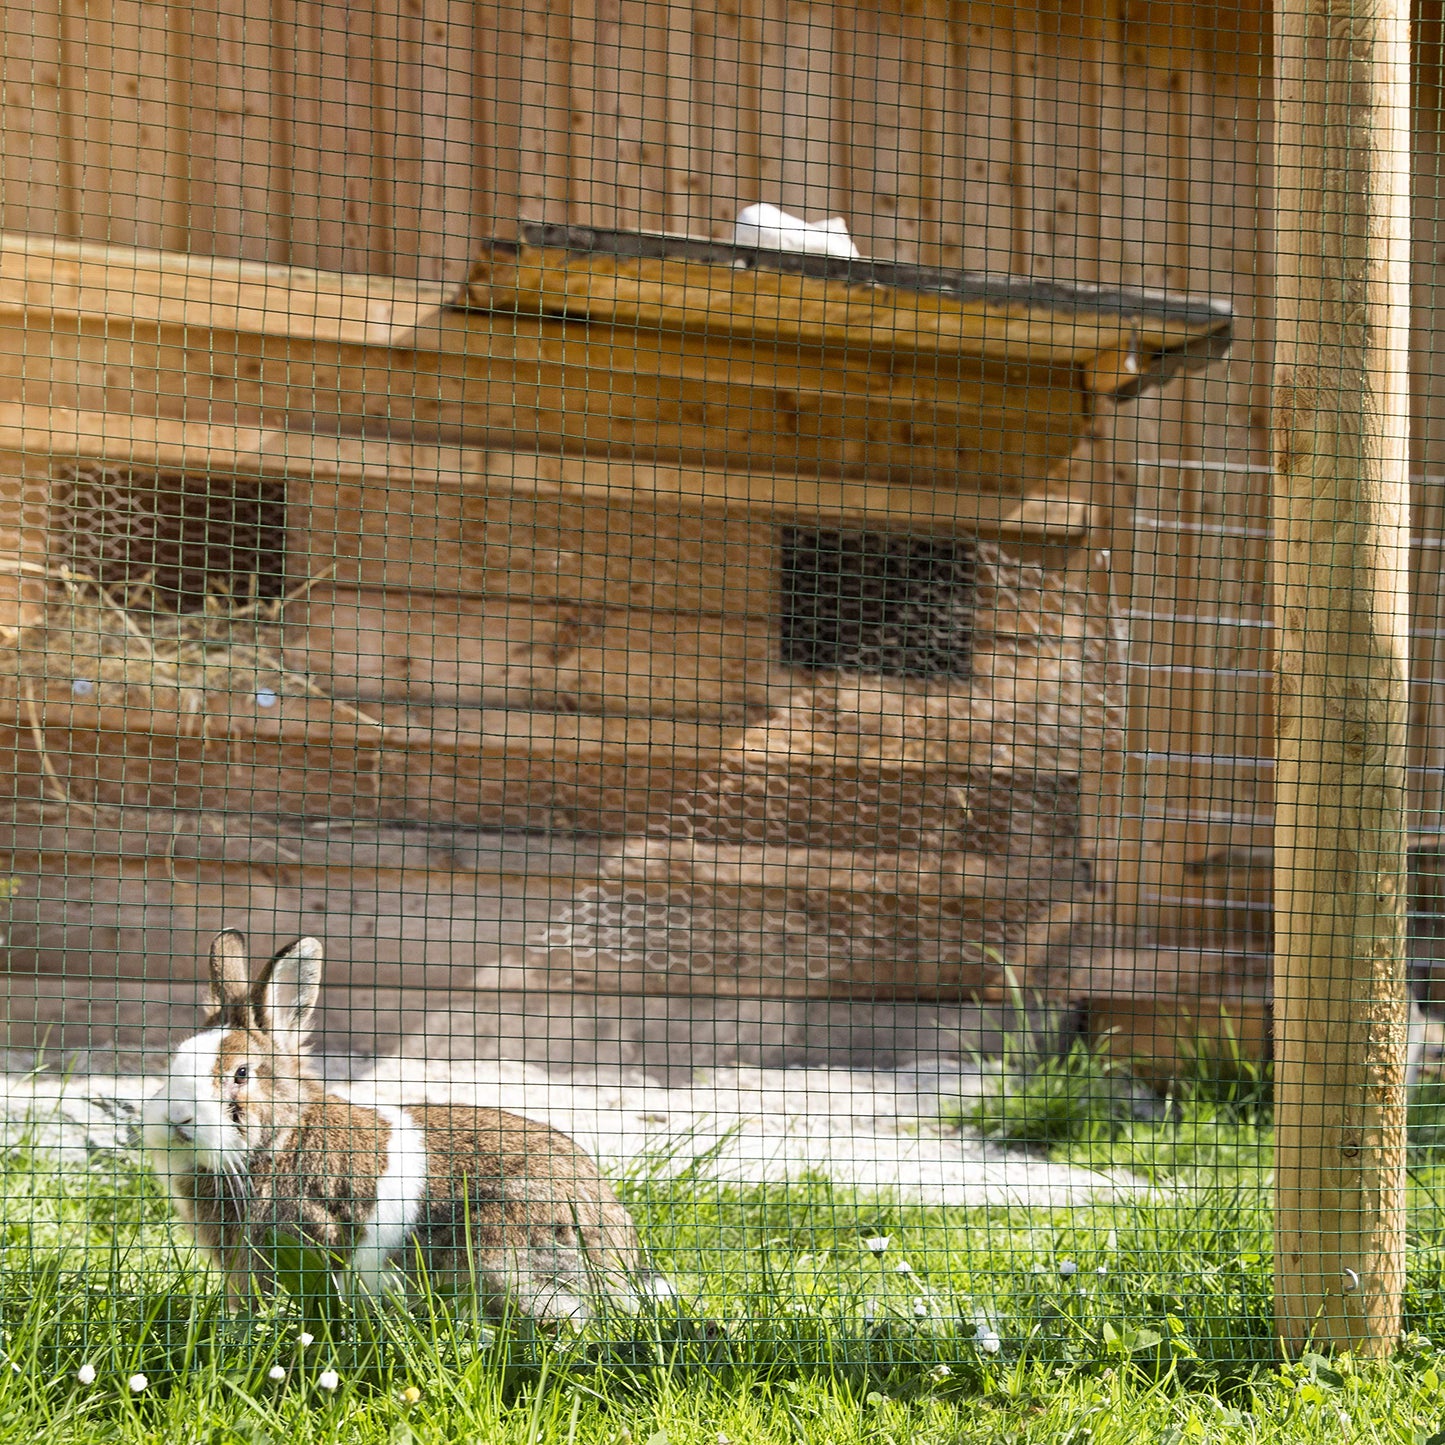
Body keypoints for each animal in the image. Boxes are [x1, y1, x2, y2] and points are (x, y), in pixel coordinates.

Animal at [140, 930, 661, 1323]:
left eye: (241, 1074)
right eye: (173, 1061)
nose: (176, 1118)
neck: (282, 1137)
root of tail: (618, 1259)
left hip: (500, 1252)